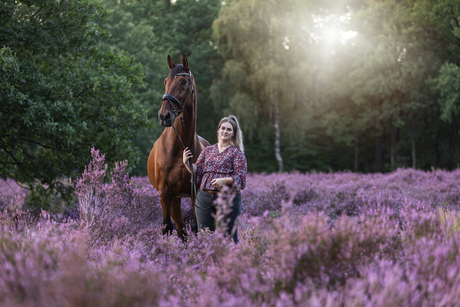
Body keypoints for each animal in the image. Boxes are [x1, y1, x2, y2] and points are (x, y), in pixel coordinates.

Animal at [146, 54, 209, 239]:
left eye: (182, 82)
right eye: (165, 81)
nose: (164, 115)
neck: (179, 148)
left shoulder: (195, 192)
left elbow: (196, 227)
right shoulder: (165, 193)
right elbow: (167, 227)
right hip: (174, 199)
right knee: (180, 229)